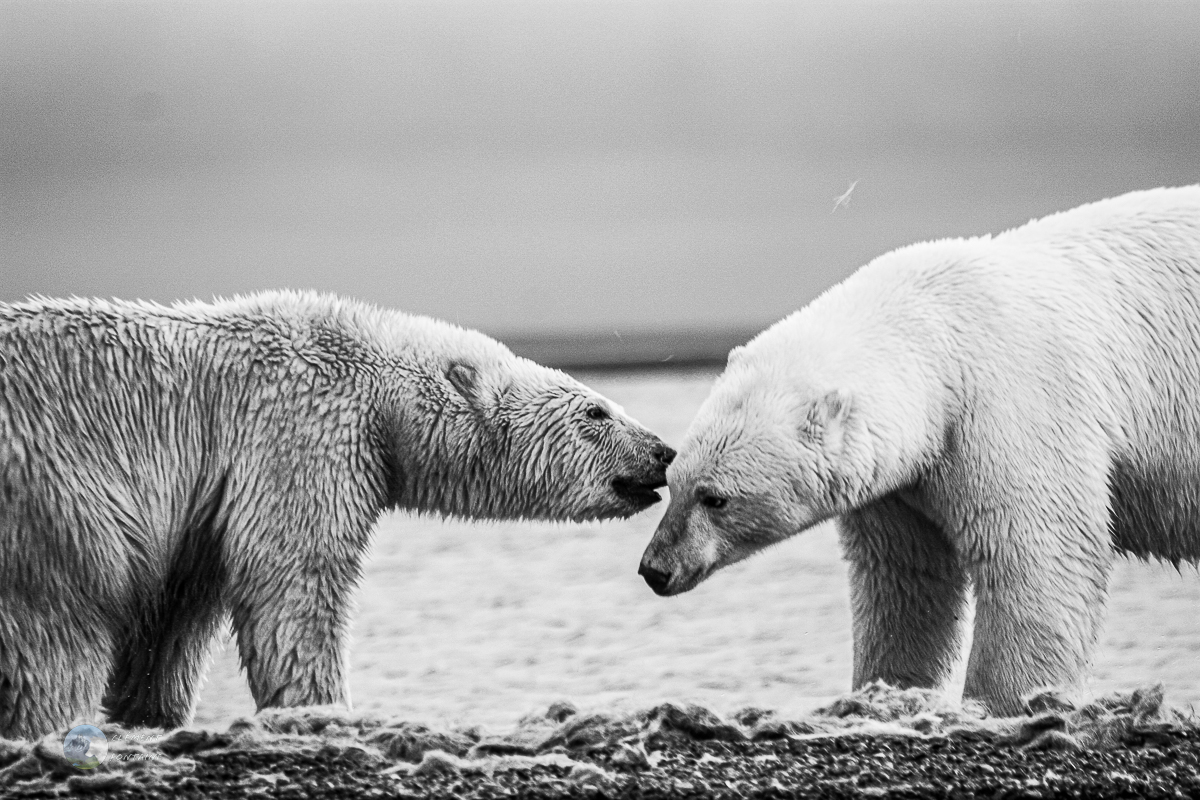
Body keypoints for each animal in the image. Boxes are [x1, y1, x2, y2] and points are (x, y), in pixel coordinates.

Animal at [0, 292, 676, 738]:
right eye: (596, 411)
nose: (664, 452)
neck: (379, 383)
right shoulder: (300, 430)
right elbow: (294, 582)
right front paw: (322, 707)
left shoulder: (199, 511)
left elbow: (173, 618)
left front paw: (153, 715)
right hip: (56, 497)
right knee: (61, 627)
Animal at [643, 189, 1200, 719]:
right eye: (671, 480)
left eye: (715, 497)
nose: (655, 568)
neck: (942, 334)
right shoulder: (901, 482)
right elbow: (905, 582)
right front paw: (883, 691)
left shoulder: (1016, 408)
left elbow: (1038, 554)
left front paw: (1000, 702)